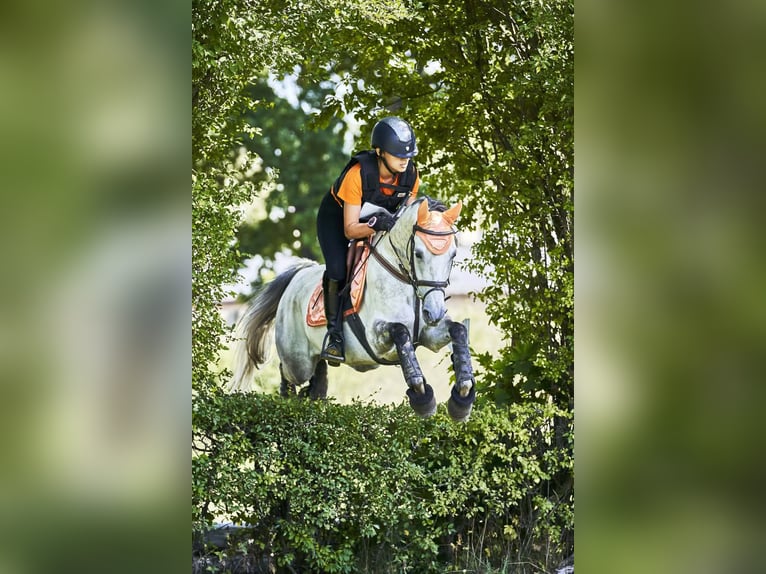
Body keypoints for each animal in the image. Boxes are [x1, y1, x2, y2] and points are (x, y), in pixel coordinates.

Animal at [229, 198, 476, 421]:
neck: (405, 281)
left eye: (453, 254)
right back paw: (287, 404)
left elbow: (458, 330)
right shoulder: (375, 339)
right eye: (418, 254)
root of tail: (297, 277)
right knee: (288, 375)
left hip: (315, 357)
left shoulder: (429, 334)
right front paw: (422, 398)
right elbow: (401, 332)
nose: (434, 313)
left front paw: (462, 396)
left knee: (317, 383)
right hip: (297, 361)